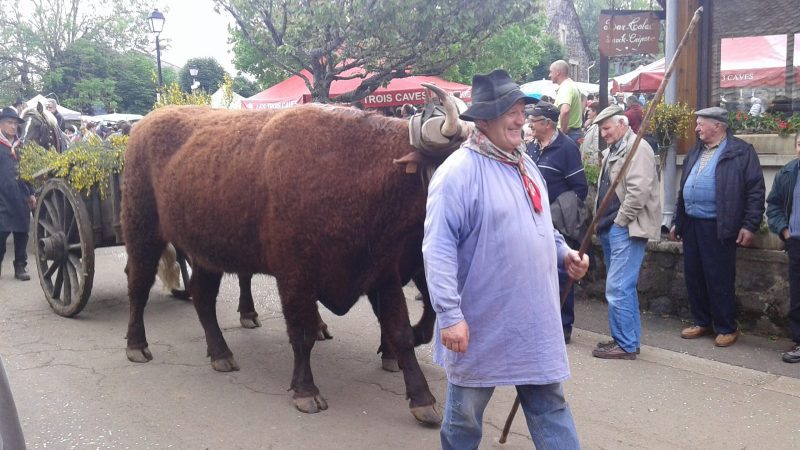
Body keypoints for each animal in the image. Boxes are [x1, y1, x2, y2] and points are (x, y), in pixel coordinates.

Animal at [119, 92, 462, 426]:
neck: (353, 168)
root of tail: (142, 127)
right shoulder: (295, 277)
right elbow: (303, 333)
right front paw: (306, 392)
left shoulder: (382, 273)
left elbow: (400, 331)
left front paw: (423, 400)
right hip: (142, 233)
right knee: (138, 287)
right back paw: (137, 346)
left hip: (207, 254)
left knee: (202, 297)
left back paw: (221, 355)